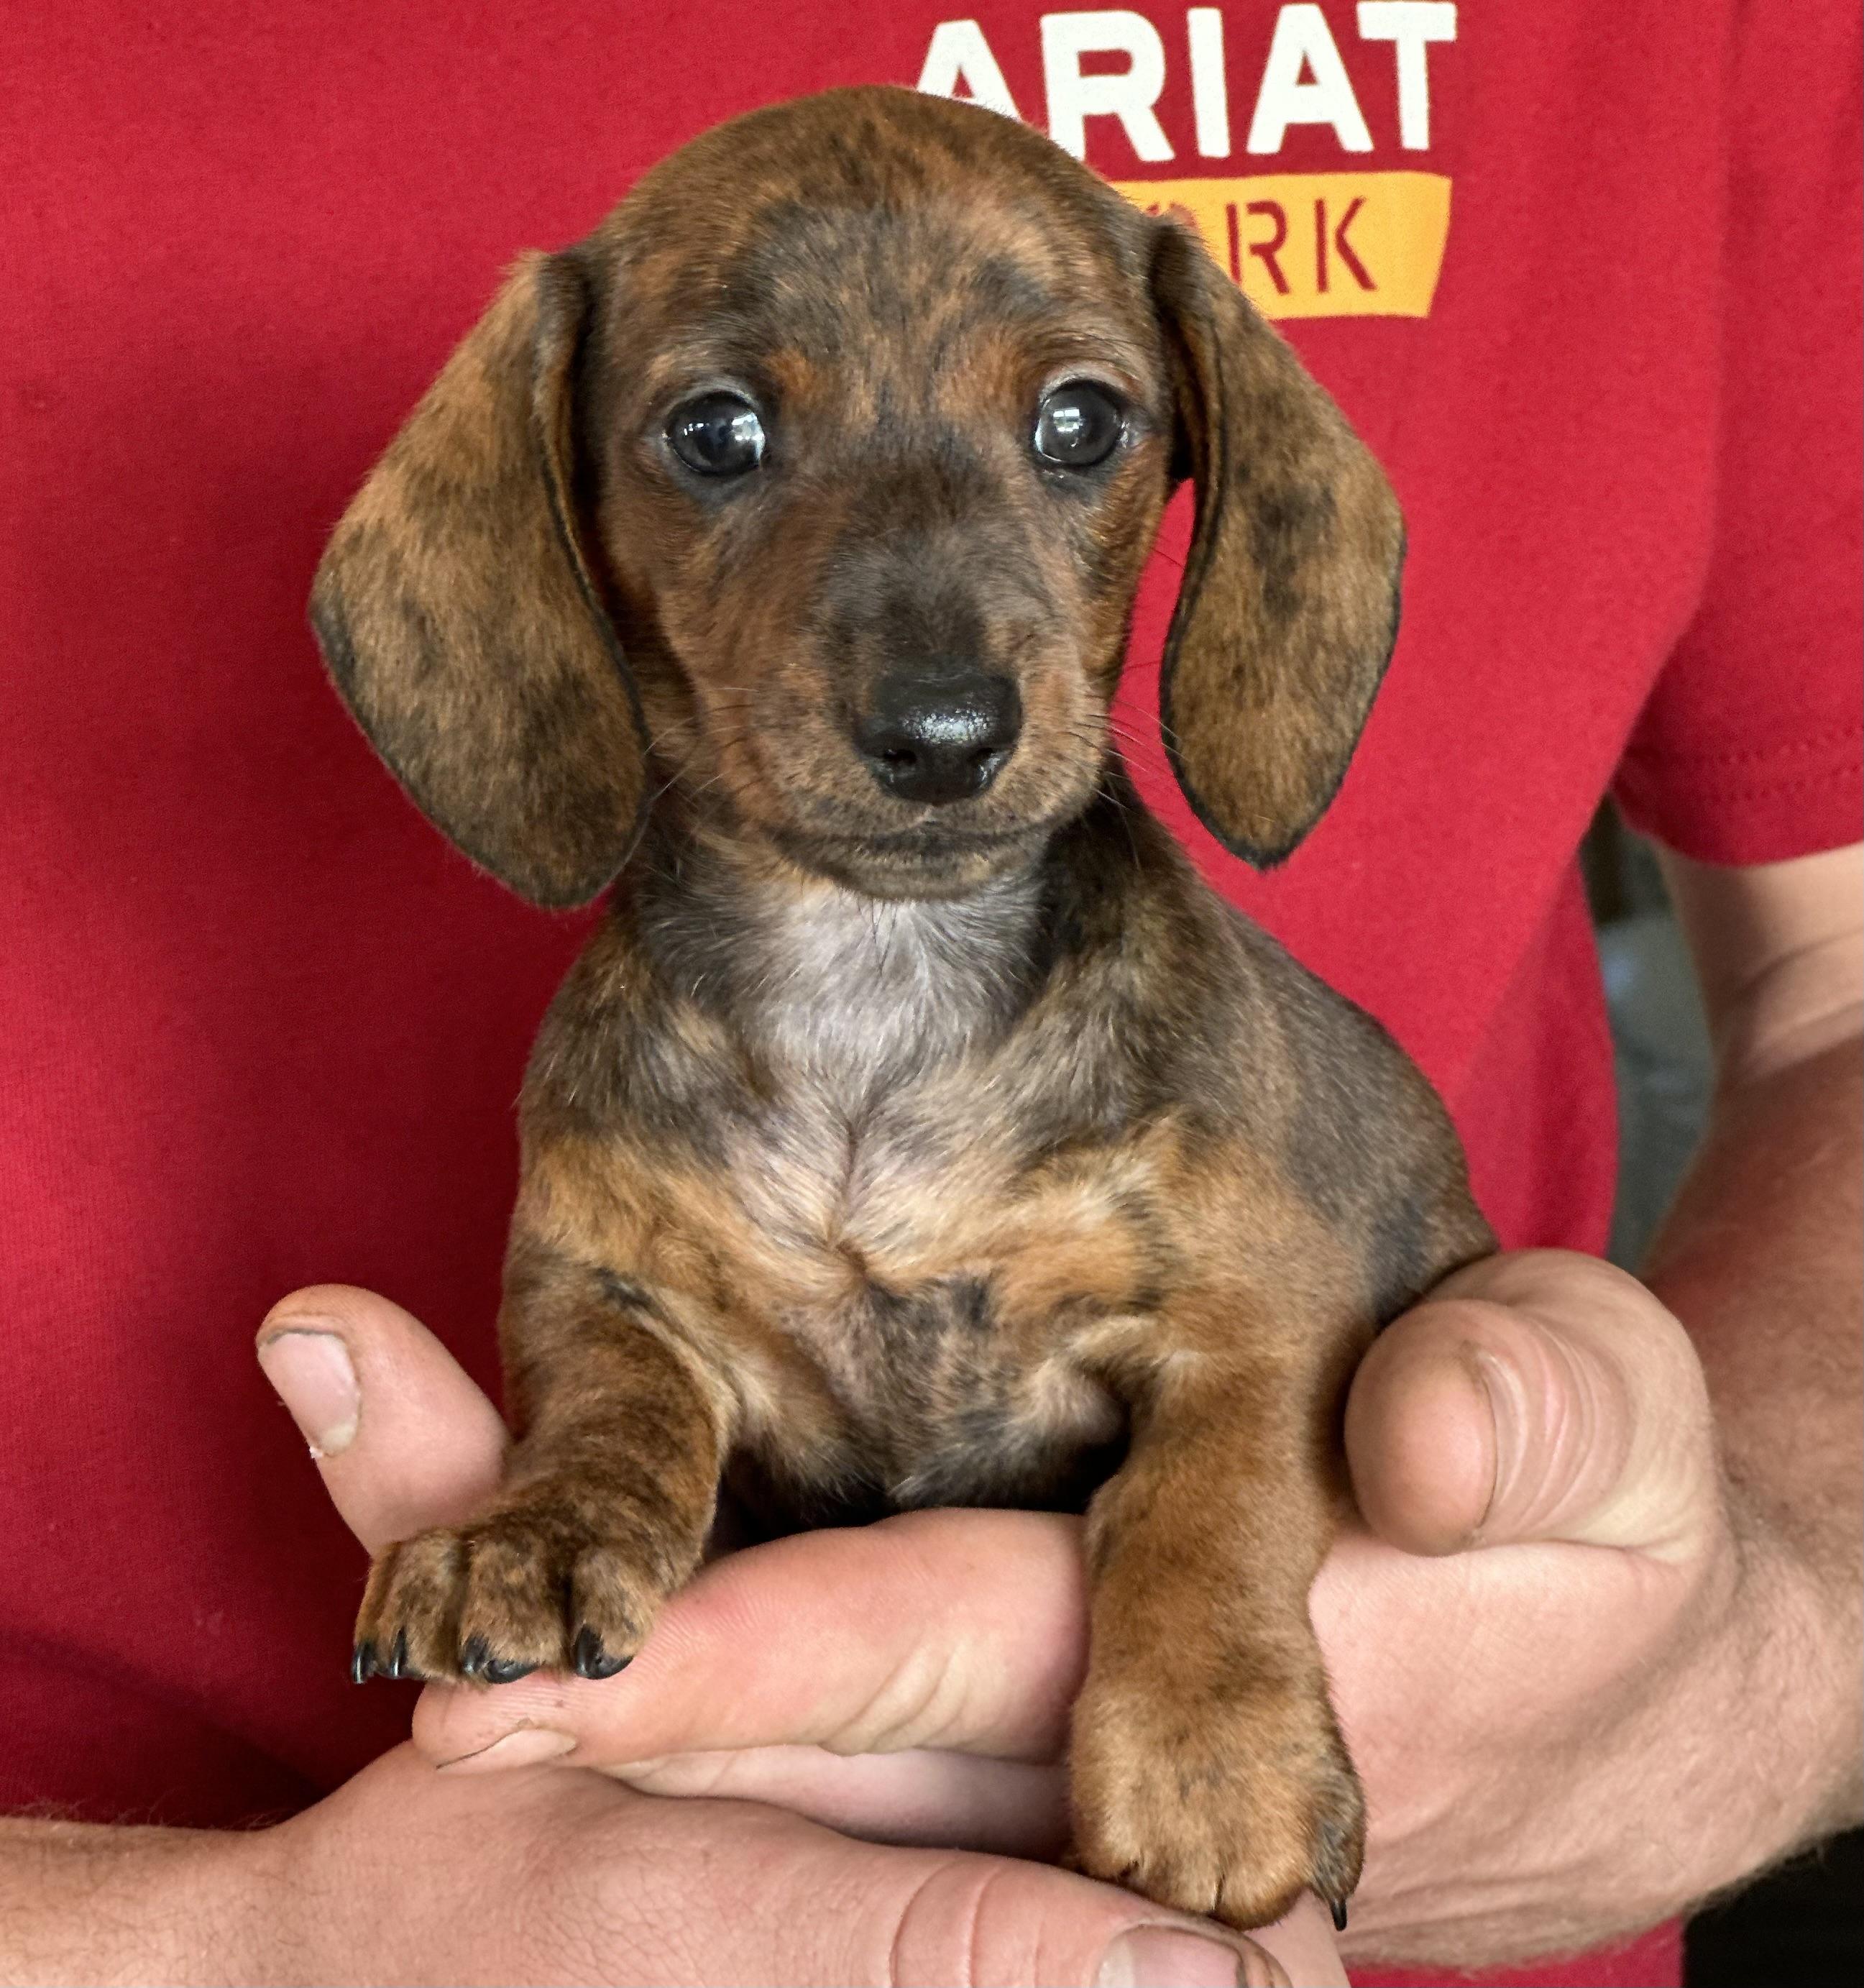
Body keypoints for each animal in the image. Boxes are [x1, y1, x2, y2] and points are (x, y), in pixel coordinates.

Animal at [310, 83, 1494, 1931]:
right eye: (714, 432)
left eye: (1082, 419)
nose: (944, 733)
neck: (875, 977)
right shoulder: (605, 1277)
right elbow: (609, 1396)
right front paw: (540, 1525)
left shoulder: (1260, 1317)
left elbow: (1202, 1504)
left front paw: (1212, 1758)